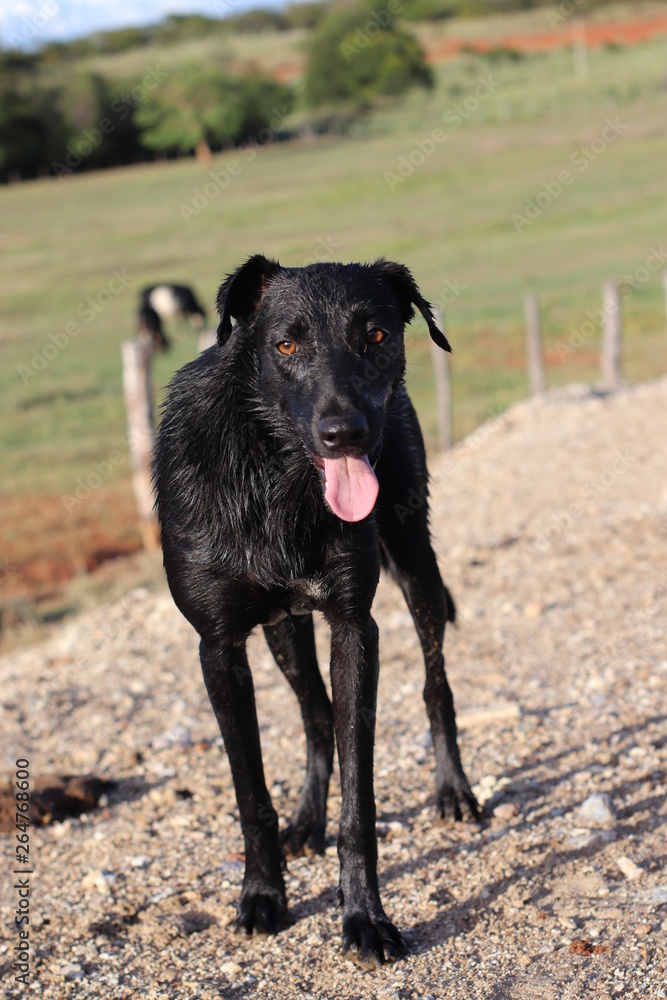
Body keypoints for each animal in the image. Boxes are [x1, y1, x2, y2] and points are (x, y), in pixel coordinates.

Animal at [155, 256, 480, 968]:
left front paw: (364, 917)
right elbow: (251, 792)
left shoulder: (355, 627)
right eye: (285, 345)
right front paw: (262, 895)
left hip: (414, 560)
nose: (344, 434)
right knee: (314, 713)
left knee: (435, 685)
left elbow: (360, 801)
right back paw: (306, 820)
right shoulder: (219, 648)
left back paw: (455, 791)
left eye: (377, 335)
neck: (277, 475)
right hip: (283, 631)